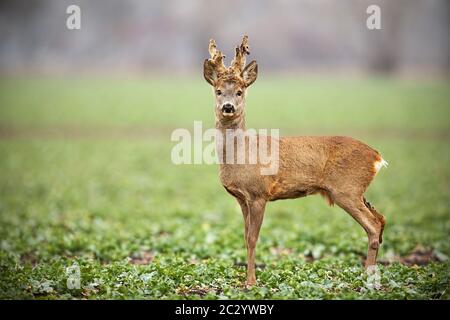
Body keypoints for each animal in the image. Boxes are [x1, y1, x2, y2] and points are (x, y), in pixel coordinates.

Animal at [203, 36, 386, 286]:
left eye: (240, 92)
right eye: (219, 91)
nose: (228, 107)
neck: (241, 155)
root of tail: (377, 156)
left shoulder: (259, 193)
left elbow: (253, 238)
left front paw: (251, 282)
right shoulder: (241, 198)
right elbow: (244, 236)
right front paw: (247, 280)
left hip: (347, 189)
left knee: (373, 224)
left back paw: (368, 279)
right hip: (356, 191)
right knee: (381, 218)